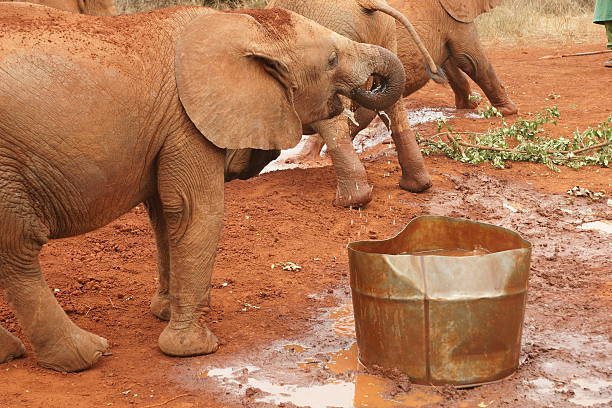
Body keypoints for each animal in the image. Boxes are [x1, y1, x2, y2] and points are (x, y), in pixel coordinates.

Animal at [0, 3, 406, 372]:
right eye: (332, 60)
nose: (369, 89)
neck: (244, 25)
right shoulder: (186, 121)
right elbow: (195, 210)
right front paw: (194, 347)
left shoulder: (170, 128)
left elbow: (164, 215)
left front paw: (166, 311)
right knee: (18, 249)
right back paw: (86, 355)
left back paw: (12, 353)